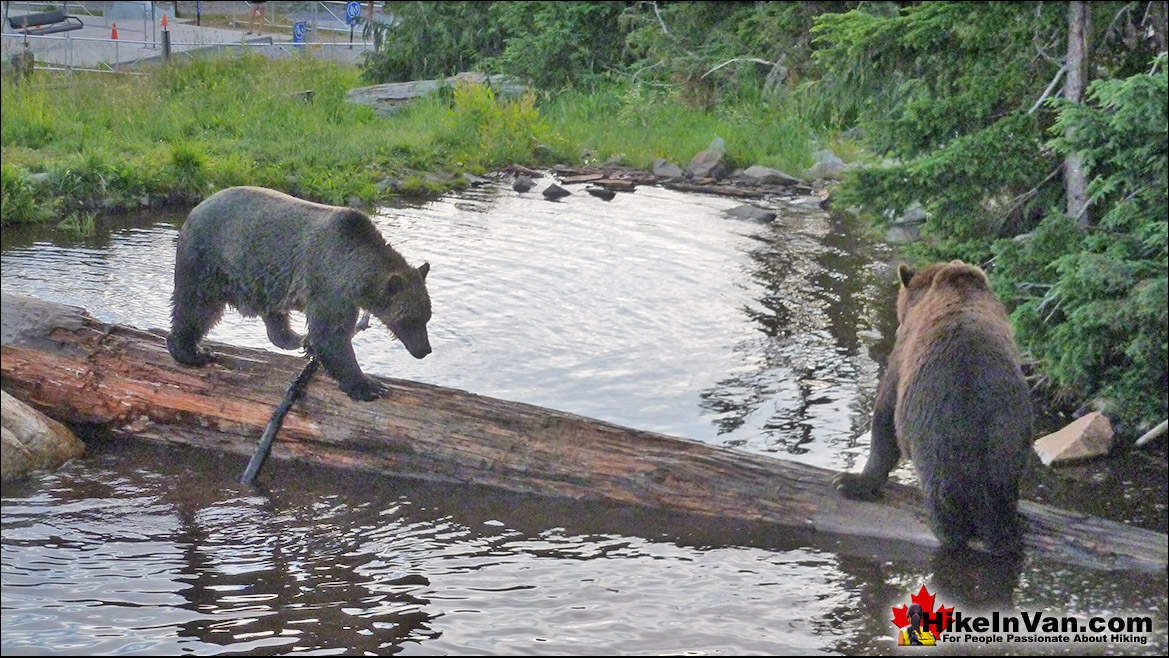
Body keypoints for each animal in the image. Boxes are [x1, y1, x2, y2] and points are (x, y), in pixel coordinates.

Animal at [167, 185, 432, 402]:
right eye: (410, 320)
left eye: (427, 317)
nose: (424, 350)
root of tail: (194, 210)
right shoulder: (328, 284)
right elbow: (331, 335)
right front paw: (369, 386)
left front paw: (311, 345)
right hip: (210, 259)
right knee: (196, 306)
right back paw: (192, 352)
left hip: (263, 281)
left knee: (273, 317)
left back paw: (295, 338)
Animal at [832, 262, 1033, 556]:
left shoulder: (902, 357)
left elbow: (885, 419)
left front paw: (851, 481)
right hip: (1007, 434)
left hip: (938, 430)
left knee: (945, 506)